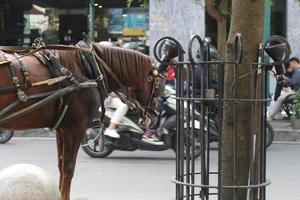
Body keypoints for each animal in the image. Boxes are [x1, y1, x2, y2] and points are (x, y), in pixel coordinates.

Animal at [0, 43, 162, 199]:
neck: (89, 69)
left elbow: (61, 165)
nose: (154, 116)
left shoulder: (62, 129)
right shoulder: (75, 128)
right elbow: (68, 168)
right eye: (158, 84)